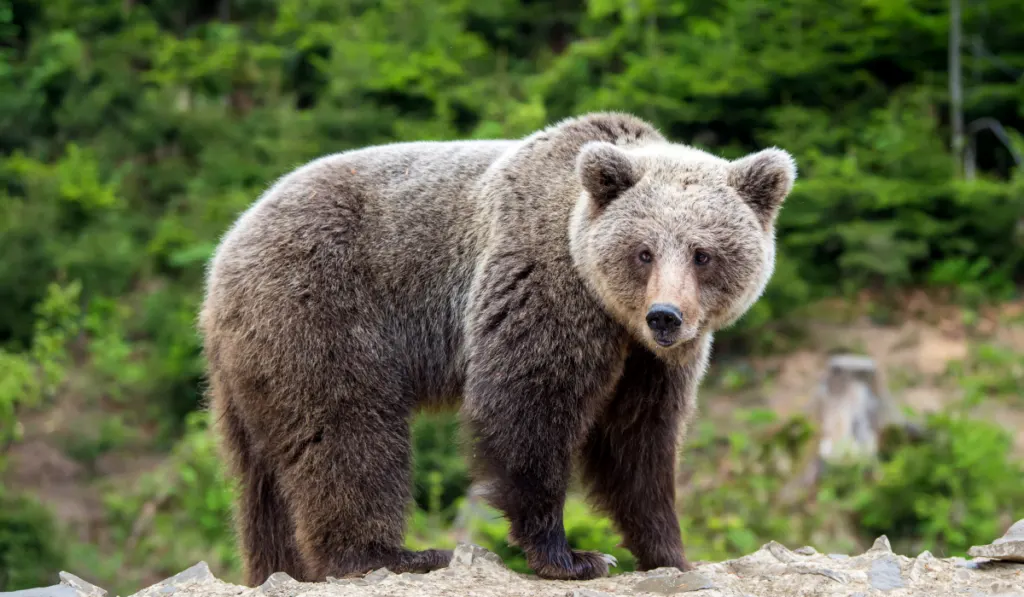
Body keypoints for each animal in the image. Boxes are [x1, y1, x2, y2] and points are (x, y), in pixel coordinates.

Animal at [197, 111, 790, 585]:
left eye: (702, 253)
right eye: (643, 251)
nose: (665, 316)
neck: (613, 315)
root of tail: (227, 248)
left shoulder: (650, 362)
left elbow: (639, 442)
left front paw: (670, 552)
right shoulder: (543, 286)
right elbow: (528, 410)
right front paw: (573, 555)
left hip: (248, 367)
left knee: (262, 482)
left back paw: (281, 567)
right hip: (322, 310)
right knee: (346, 433)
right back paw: (393, 555)